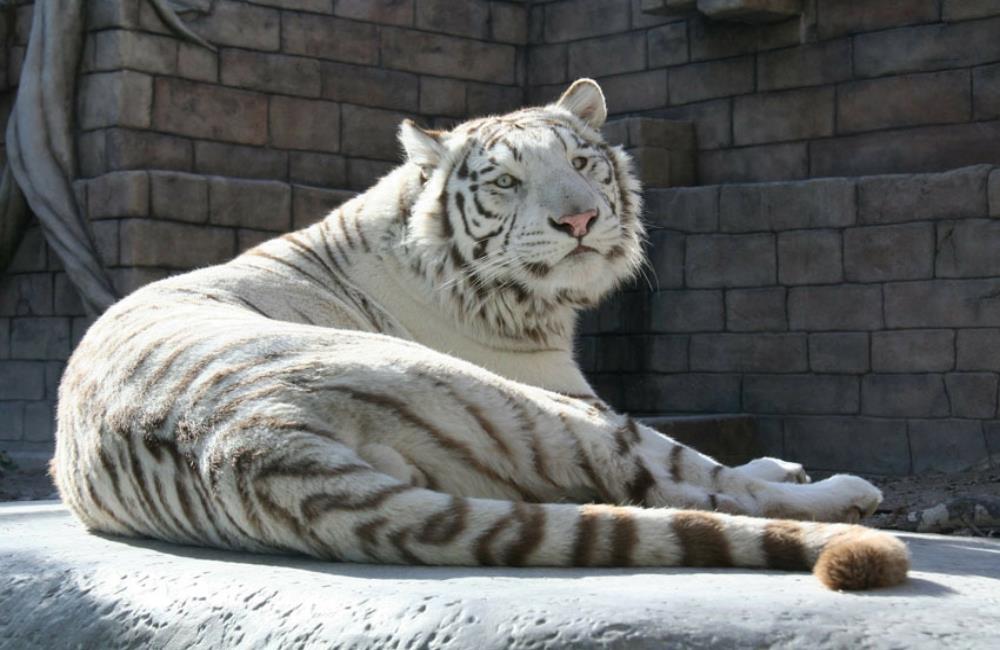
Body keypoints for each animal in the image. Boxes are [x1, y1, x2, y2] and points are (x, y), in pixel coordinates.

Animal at [50, 79, 908, 588]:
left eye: (582, 163)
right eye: (505, 181)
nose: (579, 221)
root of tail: (247, 445)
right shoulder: (566, 389)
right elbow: (706, 464)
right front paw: (793, 470)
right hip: (526, 407)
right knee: (678, 481)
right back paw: (842, 492)